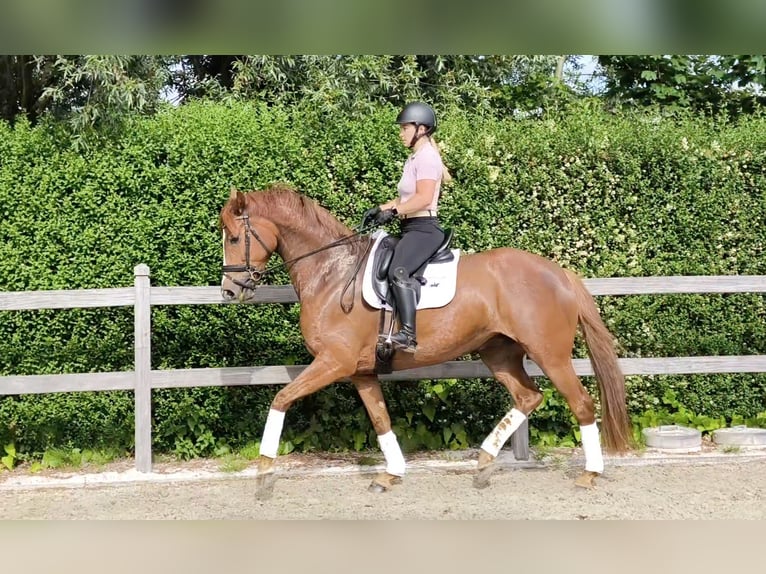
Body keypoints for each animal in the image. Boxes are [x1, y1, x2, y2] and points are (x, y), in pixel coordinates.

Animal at [219, 184, 634, 498]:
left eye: (236, 237)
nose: (229, 291)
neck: (332, 274)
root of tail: (560, 273)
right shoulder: (361, 372)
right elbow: (381, 419)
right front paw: (391, 474)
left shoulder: (333, 362)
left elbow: (281, 398)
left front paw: (264, 472)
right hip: (498, 352)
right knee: (528, 397)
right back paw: (484, 463)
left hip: (550, 355)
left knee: (581, 403)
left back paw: (590, 474)